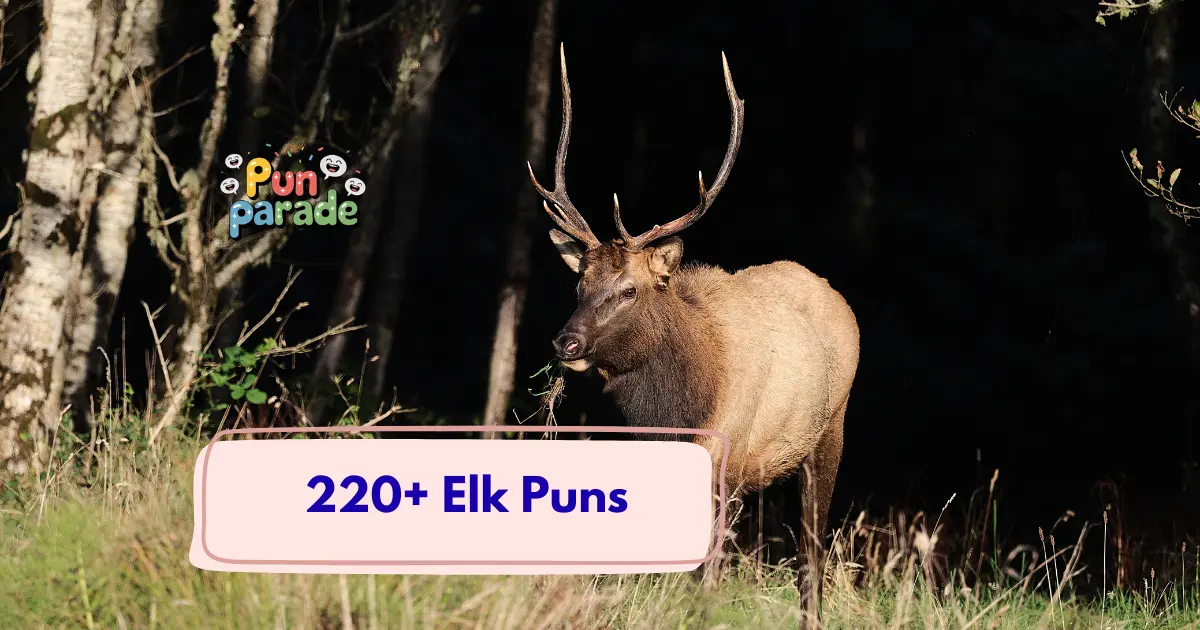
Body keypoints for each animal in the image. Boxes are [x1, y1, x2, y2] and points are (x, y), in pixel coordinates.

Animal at [527, 46, 860, 613]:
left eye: (630, 289)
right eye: (579, 283)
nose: (565, 342)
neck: (677, 408)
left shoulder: (726, 457)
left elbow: (708, 567)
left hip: (828, 430)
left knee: (811, 549)